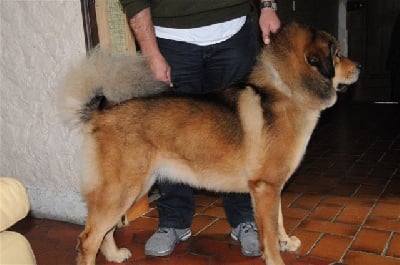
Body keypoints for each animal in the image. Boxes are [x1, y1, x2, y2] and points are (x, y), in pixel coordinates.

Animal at [58, 23, 360, 264]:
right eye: (336, 54)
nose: (360, 67)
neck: (287, 92)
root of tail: (101, 114)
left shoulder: (272, 187)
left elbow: (278, 220)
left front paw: (286, 241)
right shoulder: (265, 187)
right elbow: (270, 234)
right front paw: (277, 257)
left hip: (133, 189)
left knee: (105, 232)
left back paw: (115, 255)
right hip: (122, 191)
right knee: (88, 239)